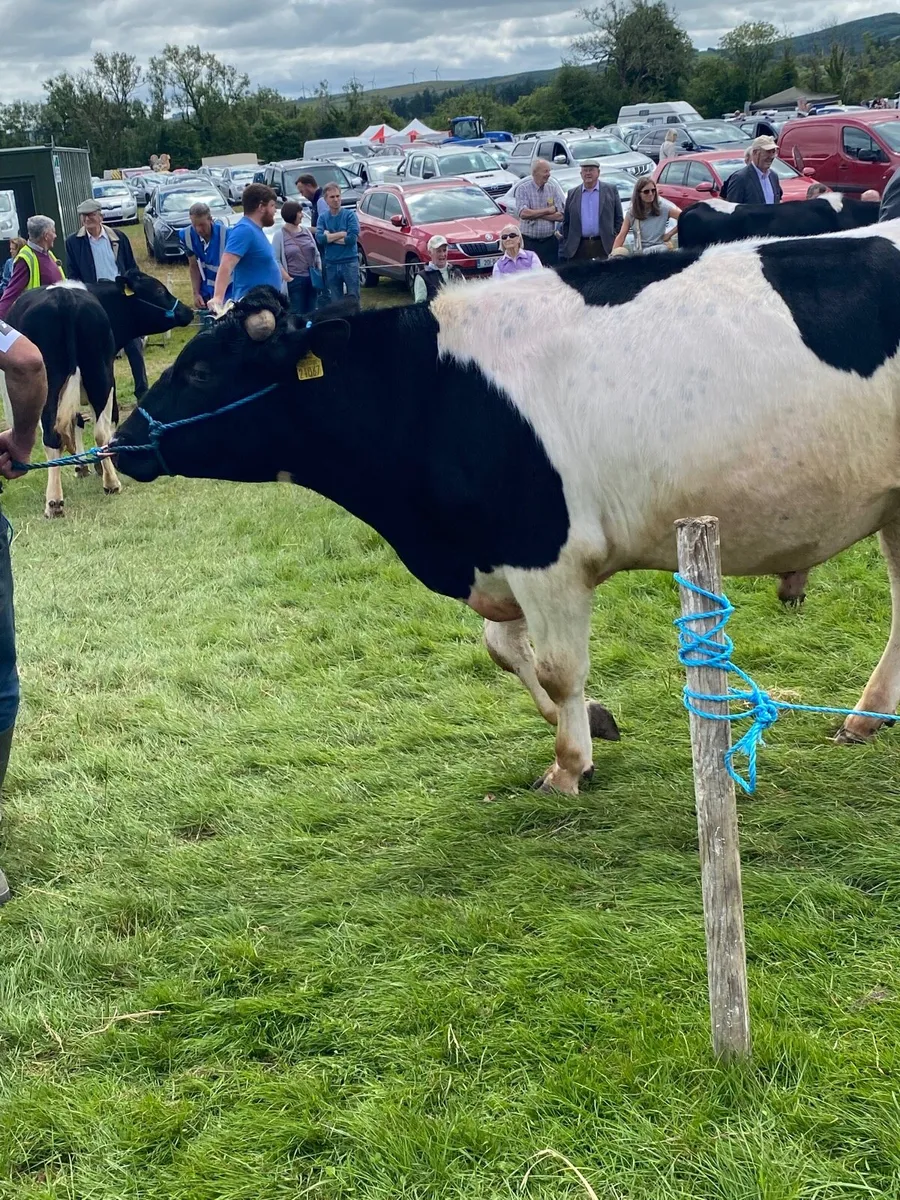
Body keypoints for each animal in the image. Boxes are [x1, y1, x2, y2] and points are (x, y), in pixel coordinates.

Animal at [8, 272, 192, 516]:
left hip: (63, 381)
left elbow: (77, 421)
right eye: (160, 290)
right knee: (98, 429)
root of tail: (64, 297)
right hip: (99, 375)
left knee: (53, 434)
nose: (188, 311)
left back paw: (54, 501)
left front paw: (84, 465)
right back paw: (110, 483)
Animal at [118, 226, 900, 796]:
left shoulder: (545, 549)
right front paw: (594, 721)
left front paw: (568, 765)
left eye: (200, 369)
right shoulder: (499, 552)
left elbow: (555, 666)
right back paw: (865, 718)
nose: (124, 443)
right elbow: (502, 649)